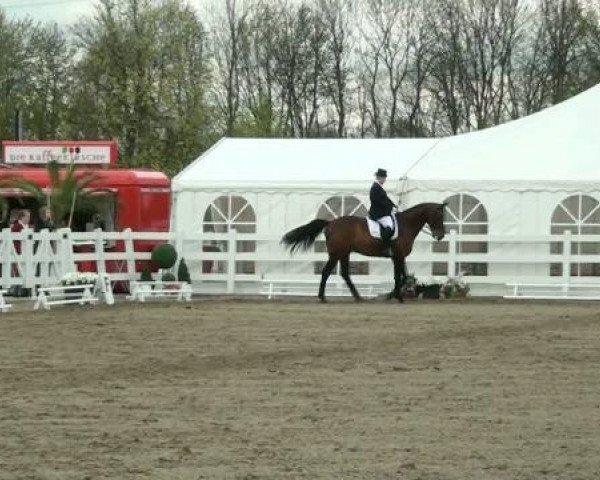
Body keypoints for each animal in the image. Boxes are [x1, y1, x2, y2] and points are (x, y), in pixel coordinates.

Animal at [280, 203, 446, 302]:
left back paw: (357, 296)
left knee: (344, 274)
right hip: (336, 253)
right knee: (326, 272)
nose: (440, 236)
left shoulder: (398, 257)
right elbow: (400, 277)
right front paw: (397, 296)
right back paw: (323, 297)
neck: (406, 225)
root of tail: (330, 223)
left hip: (344, 253)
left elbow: (401, 276)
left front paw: (394, 295)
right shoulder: (398, 256)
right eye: (439, 216)